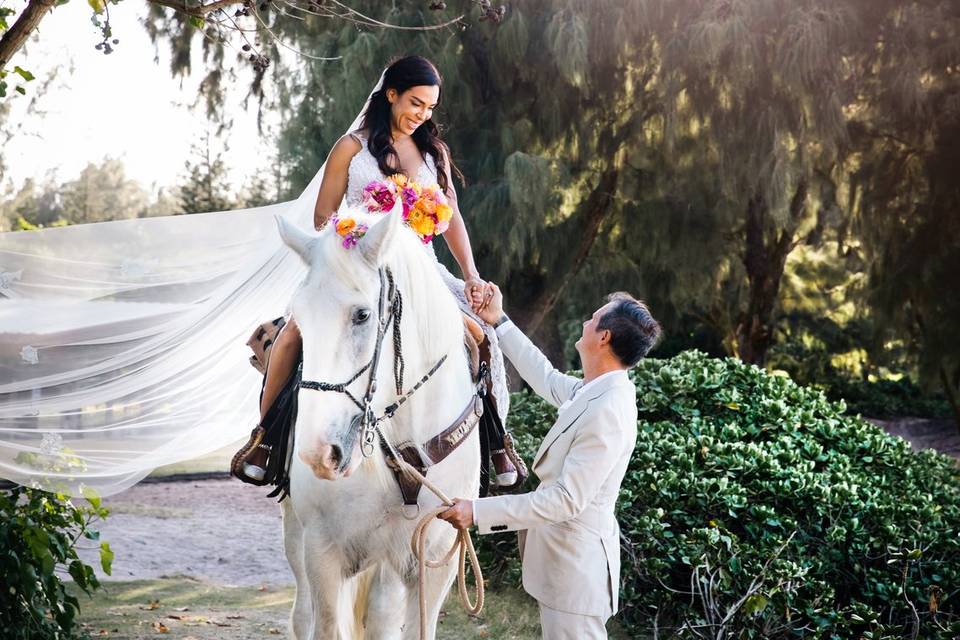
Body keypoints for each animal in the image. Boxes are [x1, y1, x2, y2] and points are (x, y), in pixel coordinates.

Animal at [276, 211, 478, 640]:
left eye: (362, 315)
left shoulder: (436, 556)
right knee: (303, 614)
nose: (319, 453)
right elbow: (326, 626)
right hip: (297, 532)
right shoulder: (322, 549)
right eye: (298, 320)